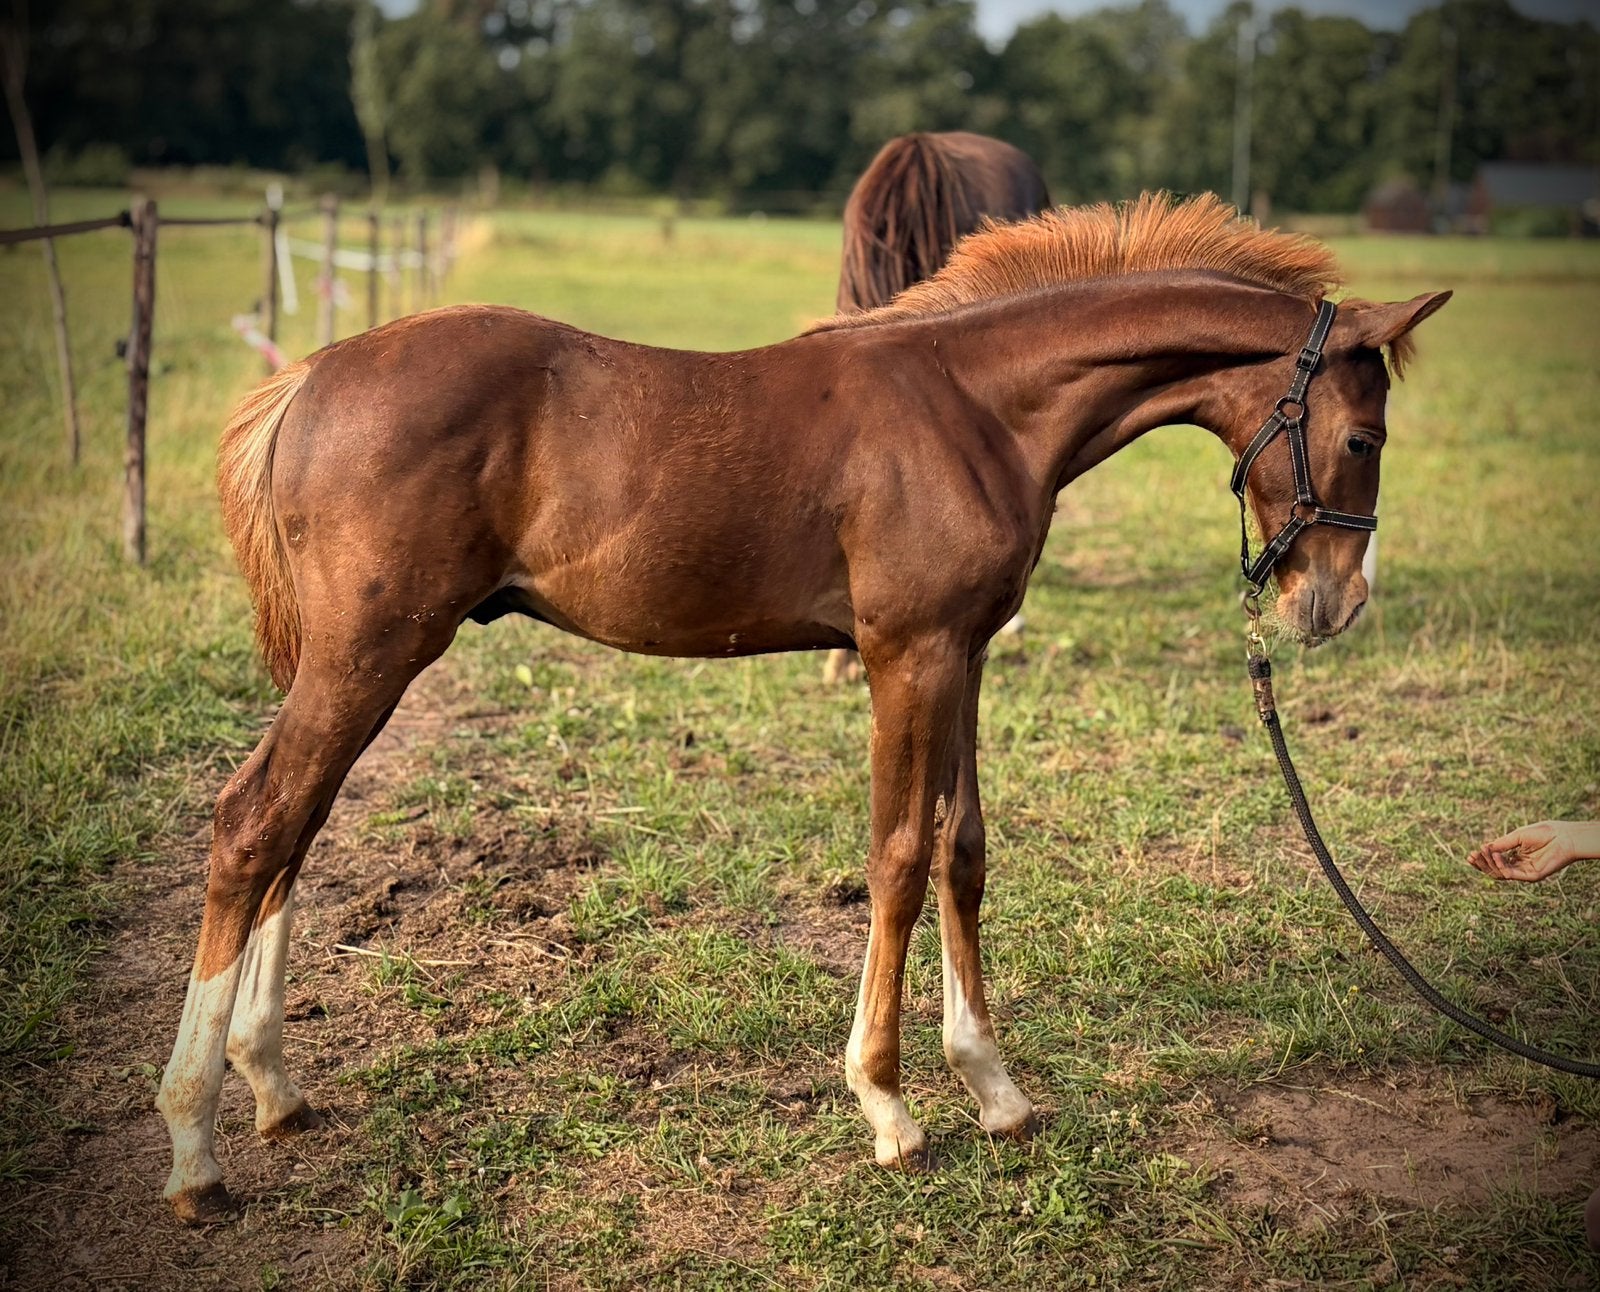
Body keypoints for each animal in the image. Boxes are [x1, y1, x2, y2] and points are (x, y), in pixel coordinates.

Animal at [156, 193, 1449, 1222]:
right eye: (1361, 434)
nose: (1334, 602)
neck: (974, 407)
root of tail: (310, 377)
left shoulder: (963, 653)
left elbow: (963, 848)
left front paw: (995, 1087)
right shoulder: (903, 656)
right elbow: (895, 853)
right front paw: (887, 1104)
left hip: (361, 659)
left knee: (298, 827)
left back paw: (271, 1085)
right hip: (369, 653)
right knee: (254, 822)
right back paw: (194, 1146)